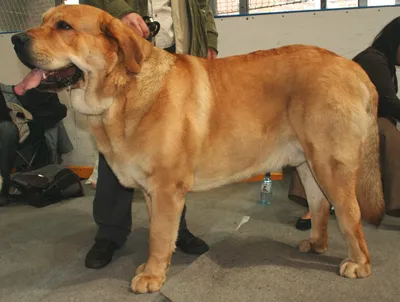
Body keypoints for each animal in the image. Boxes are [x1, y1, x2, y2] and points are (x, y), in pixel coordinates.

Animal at [12, 3, 386, 294]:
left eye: (63, 26)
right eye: (43, 21)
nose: (15, 38)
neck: (122, 91)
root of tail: (354, 68)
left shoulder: (165, 187)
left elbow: (158, 235)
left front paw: (150, 276)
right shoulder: (151, 190)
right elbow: (162, 232)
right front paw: (159, 266)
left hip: (329, 163)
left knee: (349, 215)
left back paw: (358, 264)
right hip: (308, 164)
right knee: (320, 206)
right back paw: (317, 245)